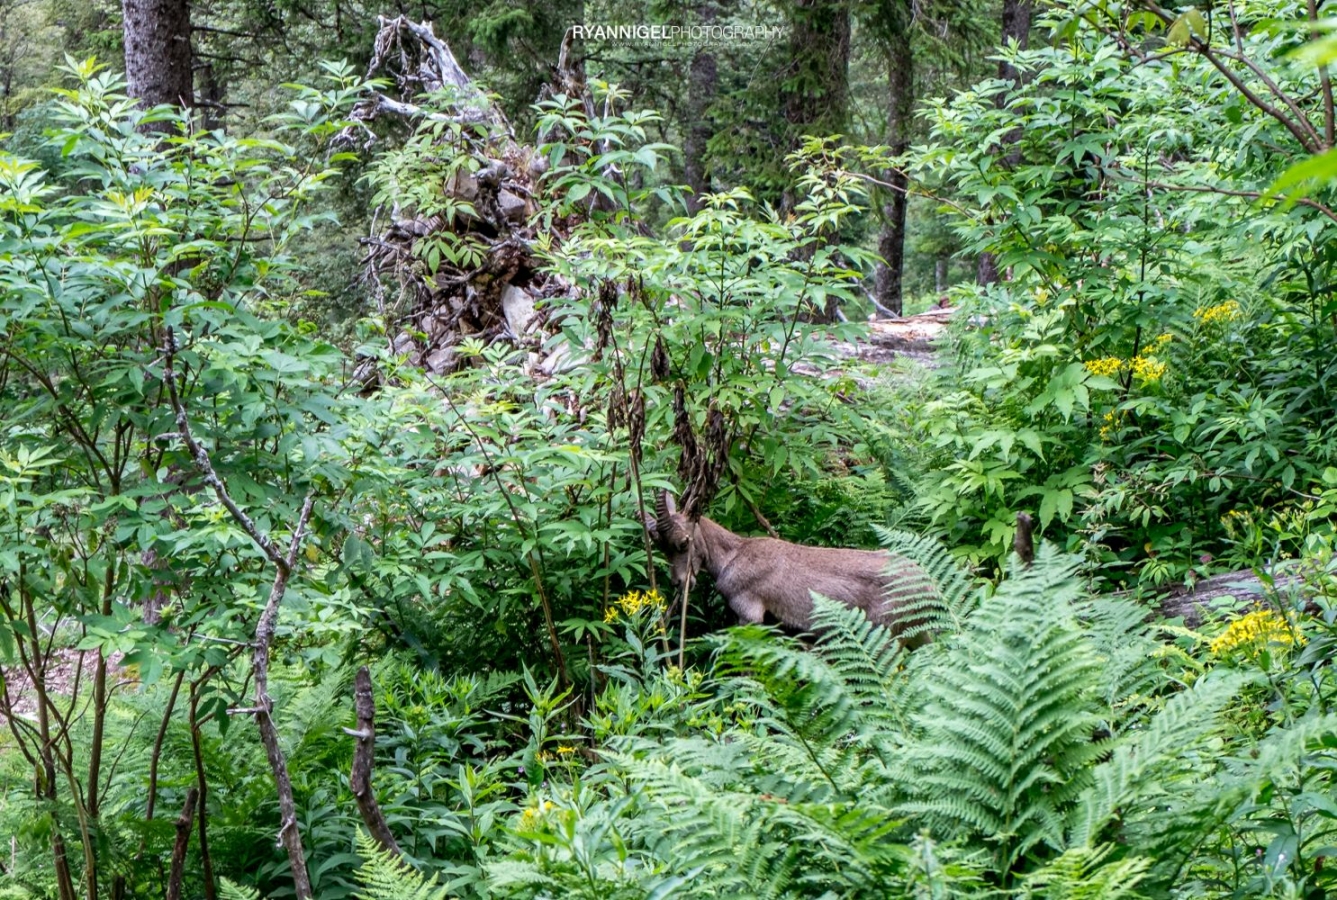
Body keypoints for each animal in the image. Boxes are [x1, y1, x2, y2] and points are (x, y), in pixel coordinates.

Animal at [644, 491, 933, 641]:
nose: (680, 582)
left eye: (683, 542)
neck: (733, 556)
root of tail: (928, 585)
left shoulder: (749, 611)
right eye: (659, 546)